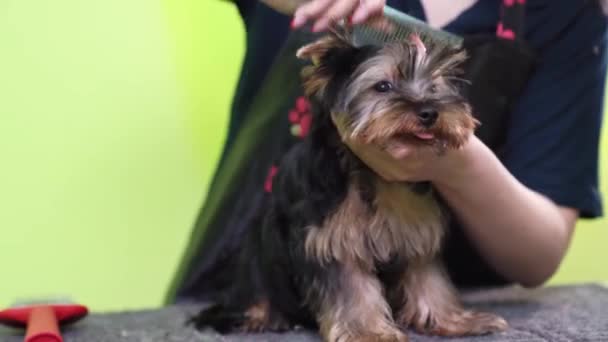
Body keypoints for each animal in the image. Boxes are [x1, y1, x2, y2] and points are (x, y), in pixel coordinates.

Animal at [191, 27, 508, 342]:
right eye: (383, 86)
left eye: (433, 88)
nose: (429, 112)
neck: (374, 175)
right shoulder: (332, 236)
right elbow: (351, 287)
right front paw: (368, 332)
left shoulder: (417, 227)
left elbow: (428, 277)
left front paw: (453, 321)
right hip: (257, 257)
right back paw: (259, 316)